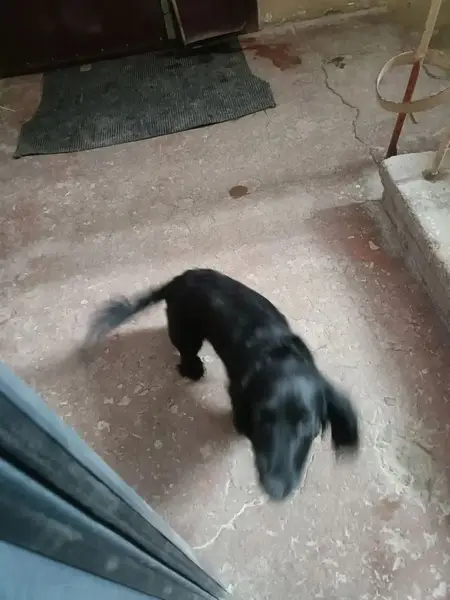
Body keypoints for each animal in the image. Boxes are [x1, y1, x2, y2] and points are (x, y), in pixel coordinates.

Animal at [84, 268, 359, 501]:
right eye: (262, 418)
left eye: (309, 427)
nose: (276, 490)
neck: (280, 356)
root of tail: (178, 279)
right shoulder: (238, 392)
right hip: (187, 332)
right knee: (185, 352)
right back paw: (192, 369)